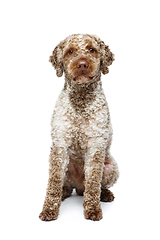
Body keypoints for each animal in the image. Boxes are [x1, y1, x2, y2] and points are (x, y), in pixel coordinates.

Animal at [38, 33, 119, 221]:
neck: (81, 100)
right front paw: (49, 209)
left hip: (111, 167)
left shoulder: (96, 147)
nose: (82, 64)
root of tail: (79, 187)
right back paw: (63, 193)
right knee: (65, 186)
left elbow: (94, 183)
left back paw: (104, 194)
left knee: (95, 186)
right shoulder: (59, 146)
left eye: (91, 49)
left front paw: (93, 209)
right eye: (70, 51)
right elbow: (53, 182)